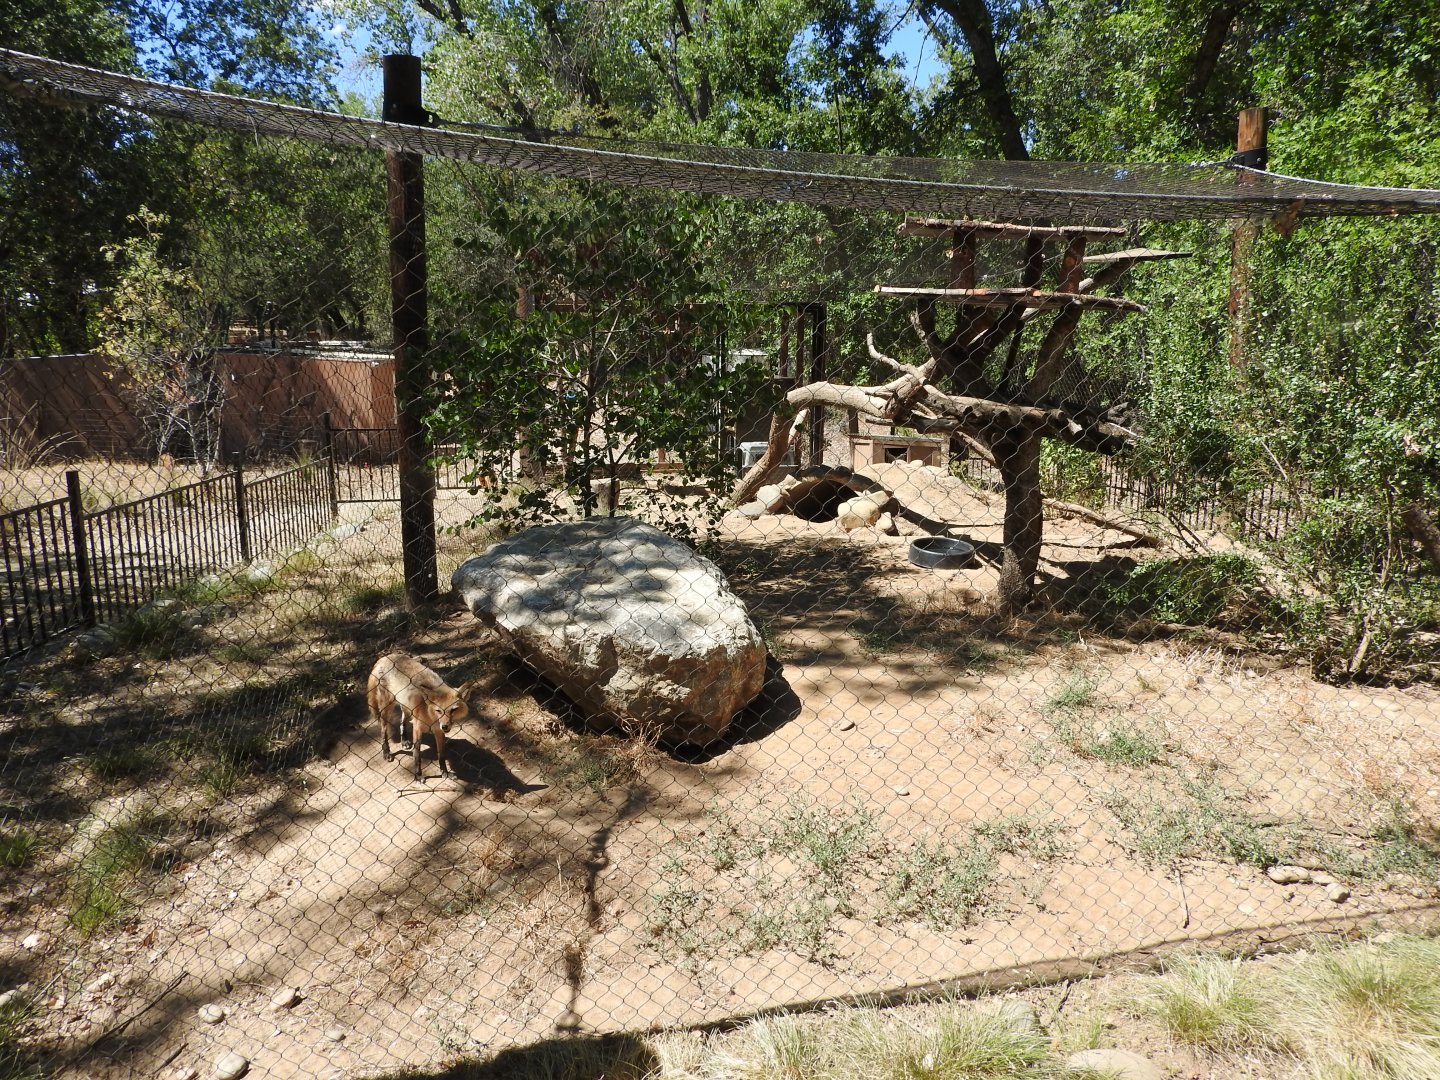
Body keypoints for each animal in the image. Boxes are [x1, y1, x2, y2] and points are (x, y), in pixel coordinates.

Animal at [366, 652, 469, 783]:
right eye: (439, 711)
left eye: (453, 710)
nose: (445, 726)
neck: (430, 716)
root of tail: (384, 657)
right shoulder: (417, 729)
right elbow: (417, 755)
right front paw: (418, 775)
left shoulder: (438, 731)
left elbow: (441, 755)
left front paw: (445, 772)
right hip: (387, 709)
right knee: (383, 730)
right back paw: (386, 752)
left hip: (407, 708)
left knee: (402, 723)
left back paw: (404, 740)